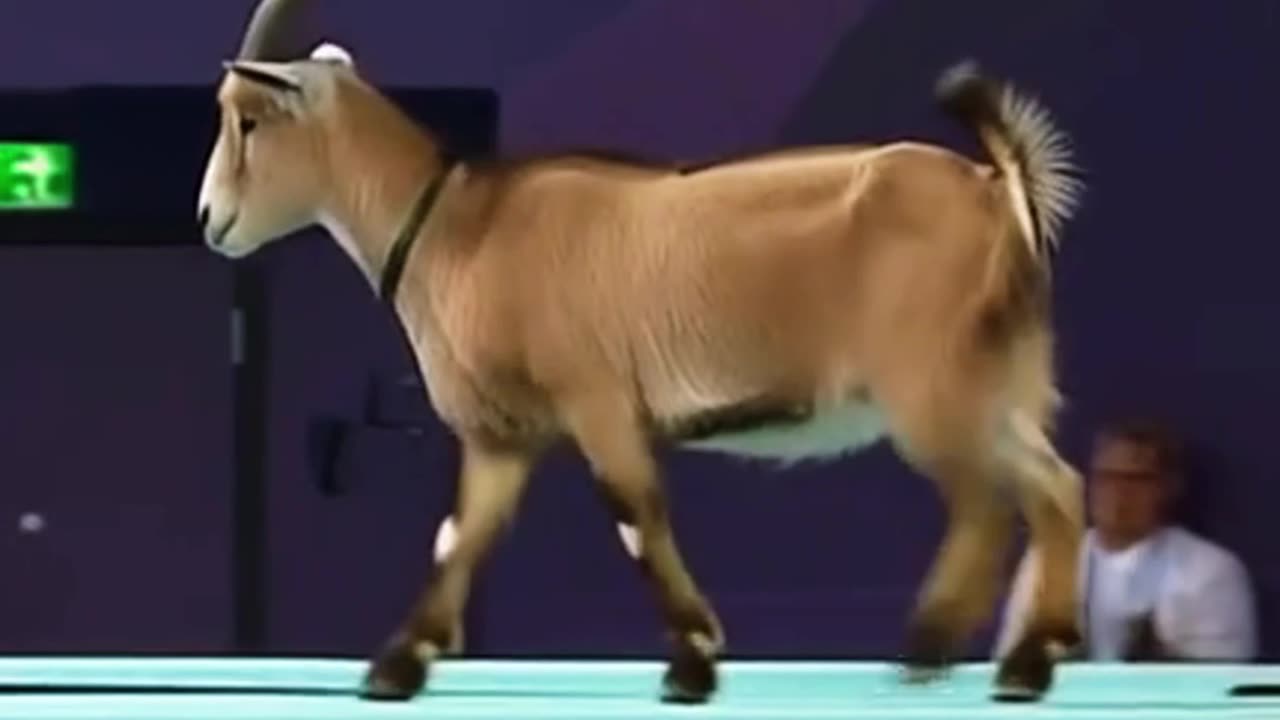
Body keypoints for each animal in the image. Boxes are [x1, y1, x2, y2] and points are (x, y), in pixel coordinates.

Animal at [197, 0, 1087, 705]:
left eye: (249, 117)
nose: (210, 219)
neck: (460, 228)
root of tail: (999, 190)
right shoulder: (502, 434)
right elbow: (461, 535)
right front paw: (397, 665)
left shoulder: (596, 399)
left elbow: (635, 512)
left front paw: (692, 661)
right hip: (996, 387)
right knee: (1056, 491)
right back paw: (1029, 660)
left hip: (931, 387)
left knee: (987, 503)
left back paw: (935, 647)